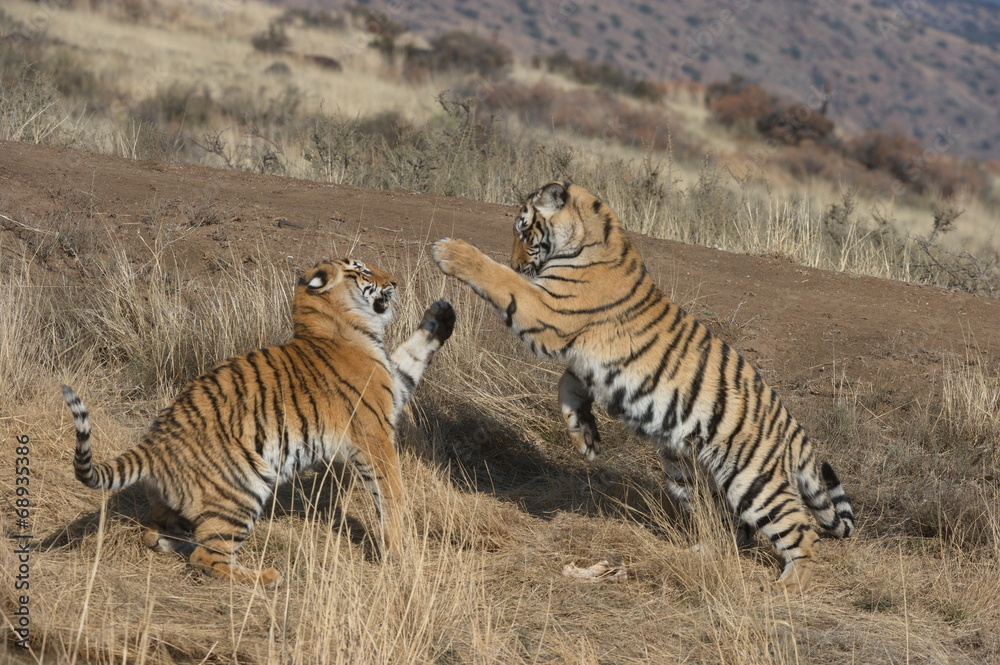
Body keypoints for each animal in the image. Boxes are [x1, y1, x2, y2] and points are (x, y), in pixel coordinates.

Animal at [62, 258, 455, 589]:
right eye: (363, 271)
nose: (395, 282)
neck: (339, 327)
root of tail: (153, 443)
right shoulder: (375, 434)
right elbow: (392, 494)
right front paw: (399, 553)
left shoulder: (394, 385)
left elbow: (412, 356)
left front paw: (443, 313)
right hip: (244, 489)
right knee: (207, 557)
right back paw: (267, 578)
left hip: (179, 503)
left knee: (156, 533)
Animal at [432, 181, 854, 593]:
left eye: (523, 230)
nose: (517, 262)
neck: (595, 234)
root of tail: (794, 428)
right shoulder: (578, 355)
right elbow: (566, 386)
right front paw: (585, 436)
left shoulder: (549, 310)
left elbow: (500, 280)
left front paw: (450, 251)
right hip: (686, 471)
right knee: (732, 527)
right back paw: (702, 552)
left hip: (754, 481)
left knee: (802, 531)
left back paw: (789, 586)